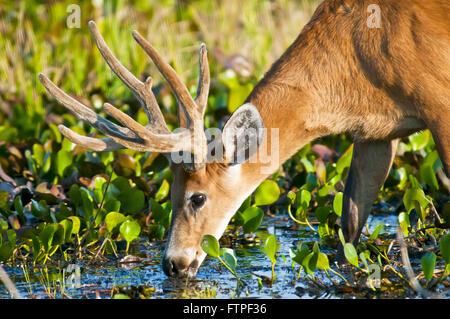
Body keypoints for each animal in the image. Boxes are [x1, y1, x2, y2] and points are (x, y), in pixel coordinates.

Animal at [39, 0, 450, 278]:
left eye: (197, 197)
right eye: (169, 192)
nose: (173, 264)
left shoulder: (438, 104)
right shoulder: (377, 133)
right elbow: (350, 222)